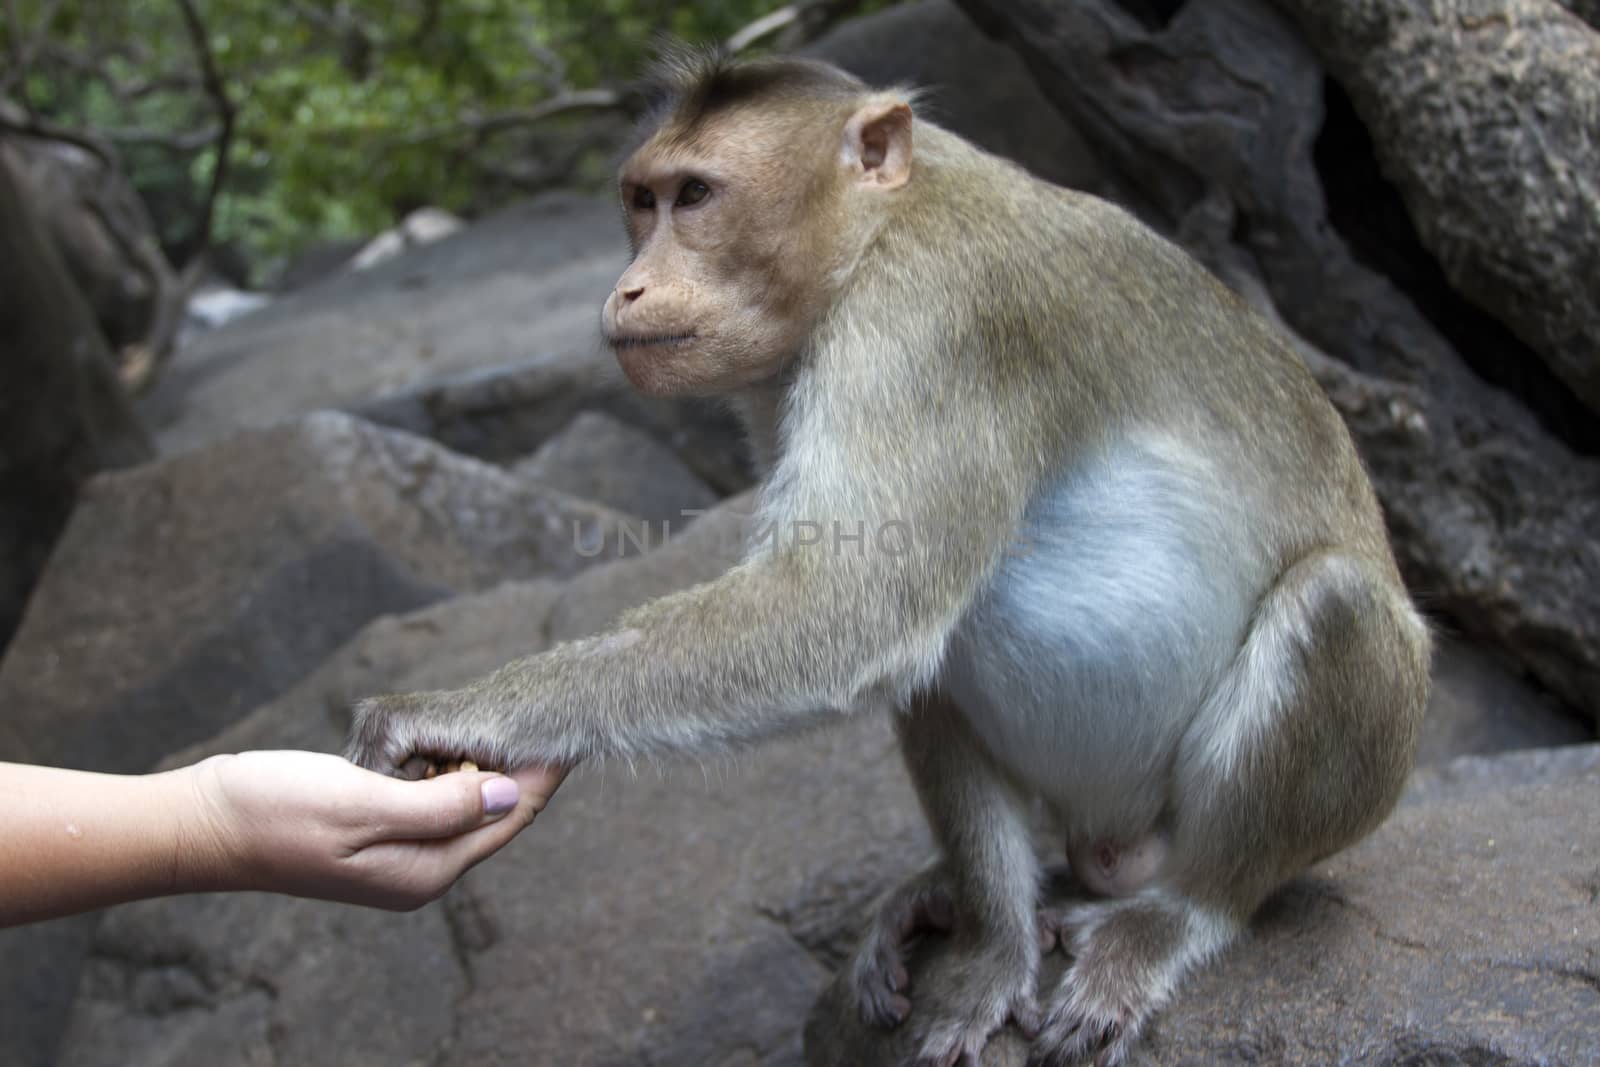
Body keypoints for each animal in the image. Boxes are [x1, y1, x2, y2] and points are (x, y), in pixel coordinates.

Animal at [347, 51, 1427, 1067]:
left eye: (695, 196)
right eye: (639, 201)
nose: (628, 286)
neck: (876, 230)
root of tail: (1112, 845)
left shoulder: (935, 317)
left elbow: (843, 598)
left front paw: (459, 710)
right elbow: (868, 613)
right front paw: (991, 953)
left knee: (1332, 608)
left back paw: (1174, 915)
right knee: (941, 655)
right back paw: (978, 912)